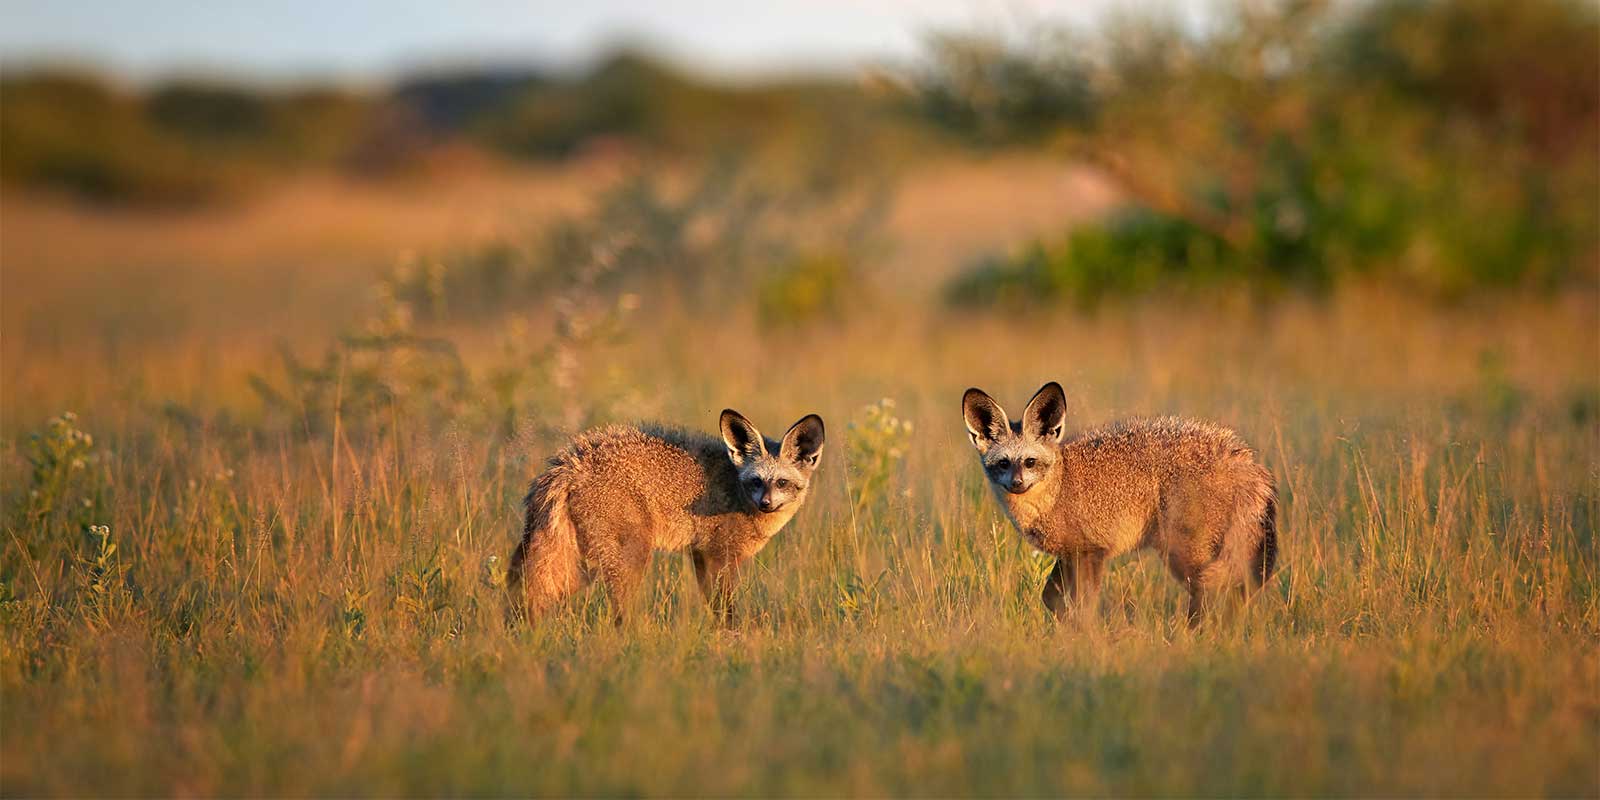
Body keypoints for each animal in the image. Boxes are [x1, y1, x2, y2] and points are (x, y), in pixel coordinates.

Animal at [506, 409, 825, 627]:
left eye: (781, 483)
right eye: (756, 482)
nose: (766, 504)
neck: (737, 489)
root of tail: (569, 464)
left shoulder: (700, 556)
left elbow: (714, 607)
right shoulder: (718, 555)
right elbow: (726, 610)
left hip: (576, 564)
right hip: (627, 558)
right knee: (620, 616)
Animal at [961, 381, 1277, 626]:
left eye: (1029, 462)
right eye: (1004, 463)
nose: (1017, 484)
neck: (1059, 488)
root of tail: (1244, 458)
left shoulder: (1092, 553)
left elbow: (1083, 607)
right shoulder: (1070, 554)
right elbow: (1051, 599)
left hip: (1186, 555)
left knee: (1212, 595)